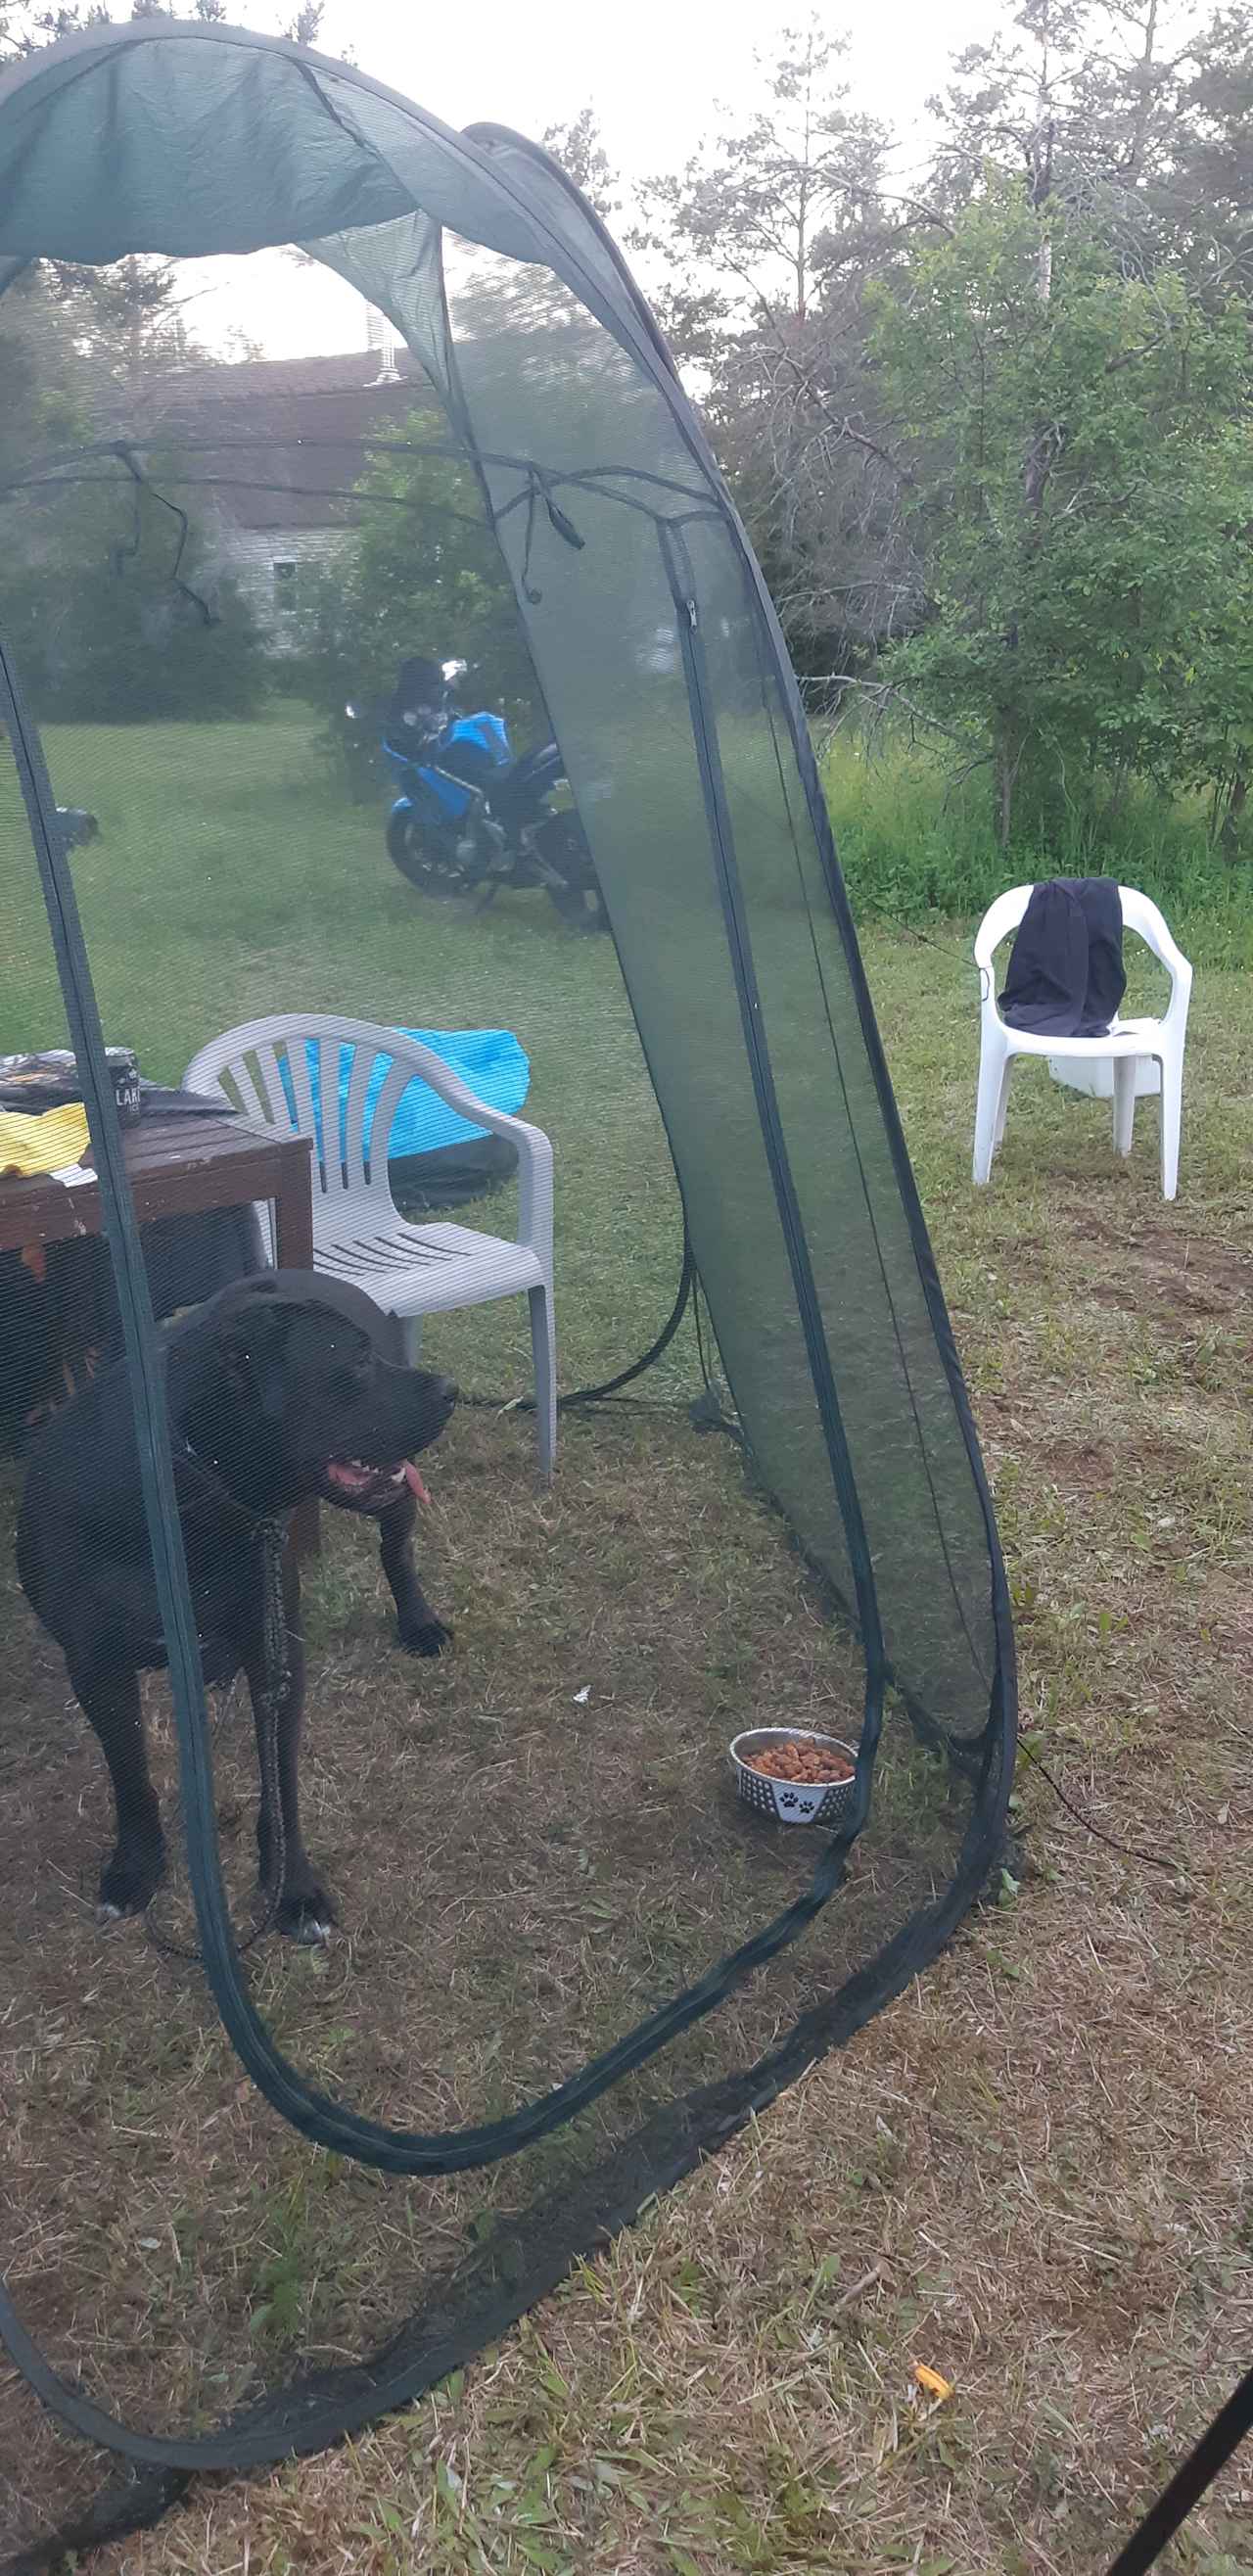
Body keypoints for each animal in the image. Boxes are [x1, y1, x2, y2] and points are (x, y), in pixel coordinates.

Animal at [15, 1267, 457, 1937]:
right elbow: (129, 1771)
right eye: (356, 1362)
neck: (181, 1482)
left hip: (389, 1501)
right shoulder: (95, 1665)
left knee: (397, 1550)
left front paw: (291, 1889)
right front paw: (137, 1866)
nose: (450, 1389)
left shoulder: (274, 1650)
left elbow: (279, 1779)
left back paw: (419, 1622)